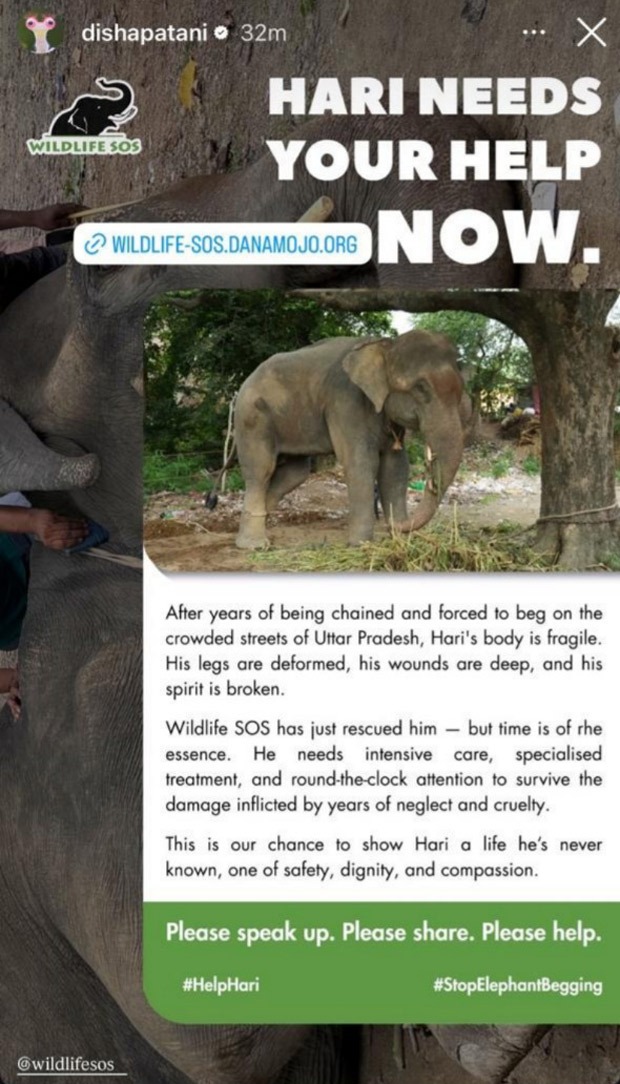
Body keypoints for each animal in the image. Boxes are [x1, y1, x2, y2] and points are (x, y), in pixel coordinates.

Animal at [233, 329, 468, 549]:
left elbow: (396, 467)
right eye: (420, 388)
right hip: (252, 417)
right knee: (261, 470)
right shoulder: (345, 401)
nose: (395, 525)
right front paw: (362, 544)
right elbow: (361, 463)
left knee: (295, 472)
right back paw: (254, 544)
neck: (385, 345)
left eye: (460, 389)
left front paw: (401, 541)